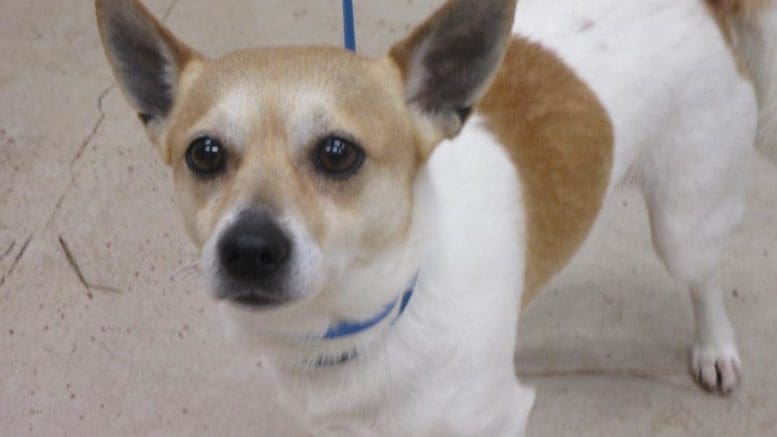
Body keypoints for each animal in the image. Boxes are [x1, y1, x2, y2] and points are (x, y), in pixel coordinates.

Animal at [97, 0, 776, 432]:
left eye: (338, 153)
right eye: (204, 154)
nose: (248, 248)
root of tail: (703, 5)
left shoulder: (496, 421)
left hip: (683, 223)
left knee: (705, 279)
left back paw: (715, 347)